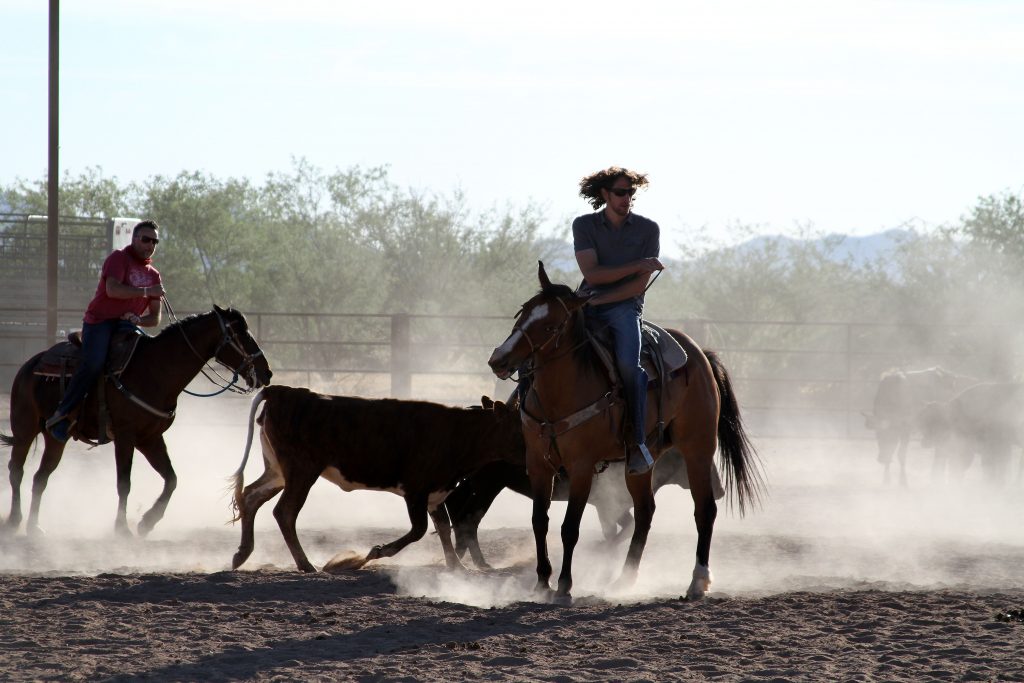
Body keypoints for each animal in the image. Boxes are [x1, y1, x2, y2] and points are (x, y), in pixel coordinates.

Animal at [0, 305, 272, 537]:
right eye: (240, 334)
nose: (266, 372)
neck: (154, 370)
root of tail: (30, 364)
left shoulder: (149, 438)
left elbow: (171, 479)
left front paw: (147, 522)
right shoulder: (125, 436)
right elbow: (124, 483)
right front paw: (122, 528)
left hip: (56, 438)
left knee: (40, 477)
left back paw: (34, 526)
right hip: (24, 427)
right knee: (16, 470)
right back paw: (14, 521)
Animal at [487, 262, 764, 601]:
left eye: (551, 326)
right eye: (523, 311)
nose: (499, 359)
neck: (561, 395)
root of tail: (699, 354)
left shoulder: (581, 467)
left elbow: (570, 527)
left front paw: (564, 586)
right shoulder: (539, 465)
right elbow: (540, 521)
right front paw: (541, 584)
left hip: (698, 448)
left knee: (705, 509)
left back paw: (697, 581)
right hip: (640, 461)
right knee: (645, 511)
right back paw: (625, 579)